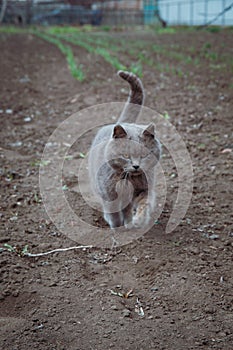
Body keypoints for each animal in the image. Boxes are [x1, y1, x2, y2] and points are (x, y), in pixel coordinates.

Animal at [88, 71, 161, 230]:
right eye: (126, 155)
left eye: (144, 155)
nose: (136, 166)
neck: (129, 179)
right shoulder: (108, 193)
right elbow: (114, 211)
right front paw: (116, 226)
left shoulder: (144, 188)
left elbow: (144, 203)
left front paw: (138, 220)